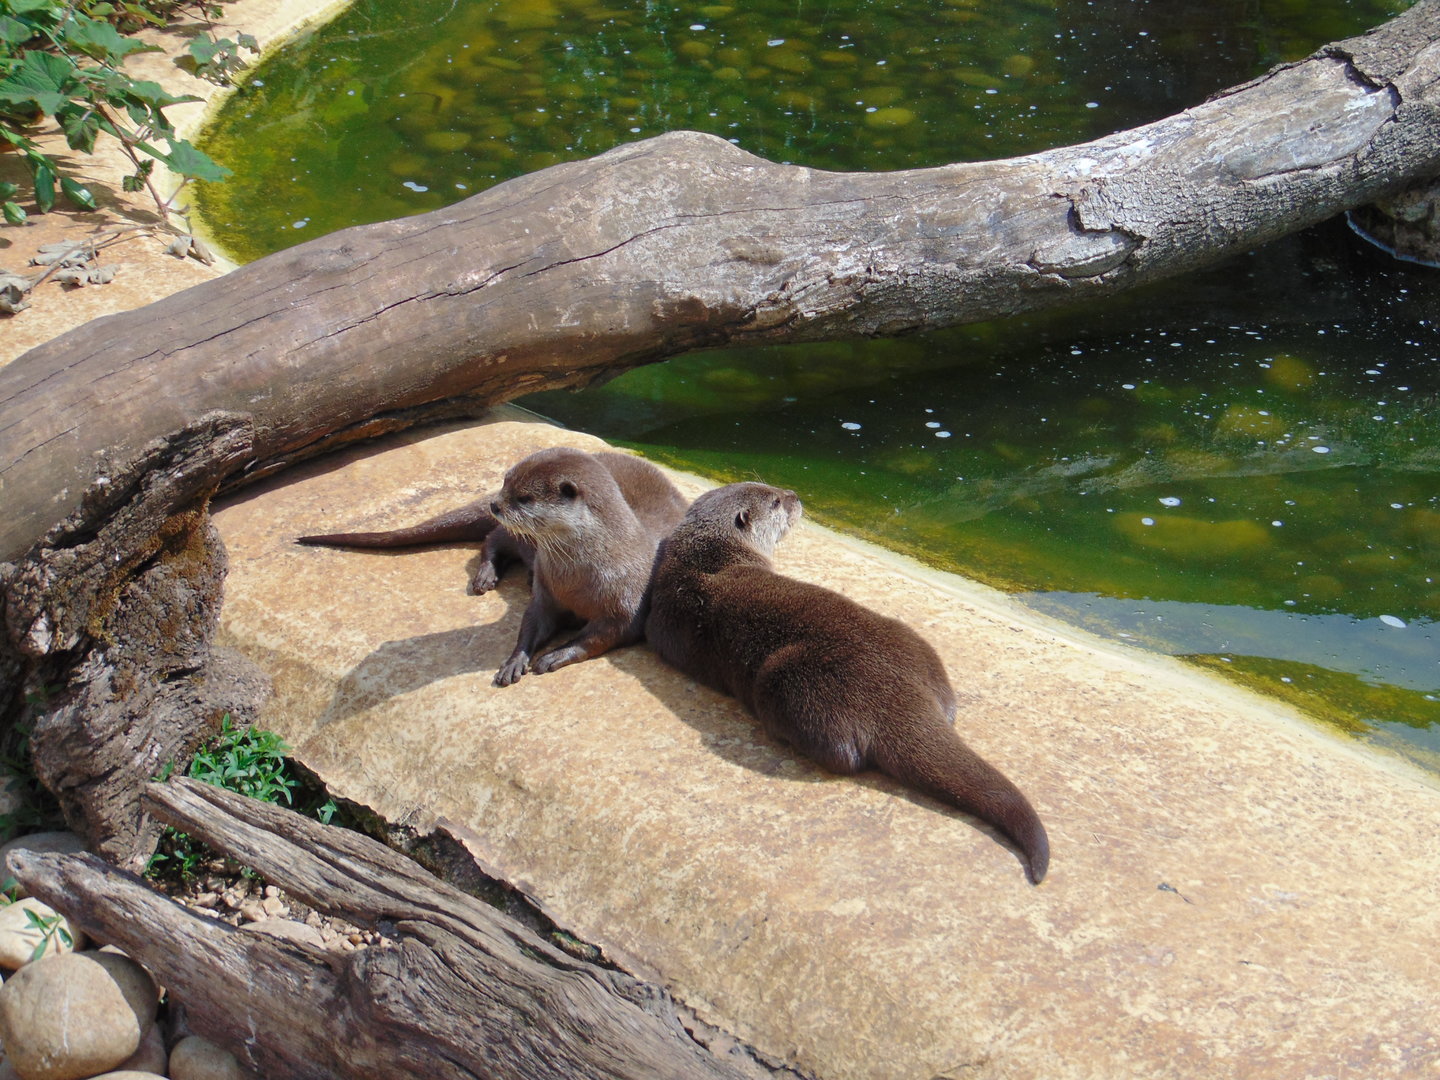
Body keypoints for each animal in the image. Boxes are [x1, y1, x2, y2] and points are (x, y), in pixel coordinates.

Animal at [299, 447, 689, 686]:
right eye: (505, 481)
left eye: (525, 497)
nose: (494, 504)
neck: (583, 575)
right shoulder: (547, 592)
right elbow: (532, 622)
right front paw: (515, 660)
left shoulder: (626, 607)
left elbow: (597, 638)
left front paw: (555, 655)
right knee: (492, 539)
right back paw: (486, 576)